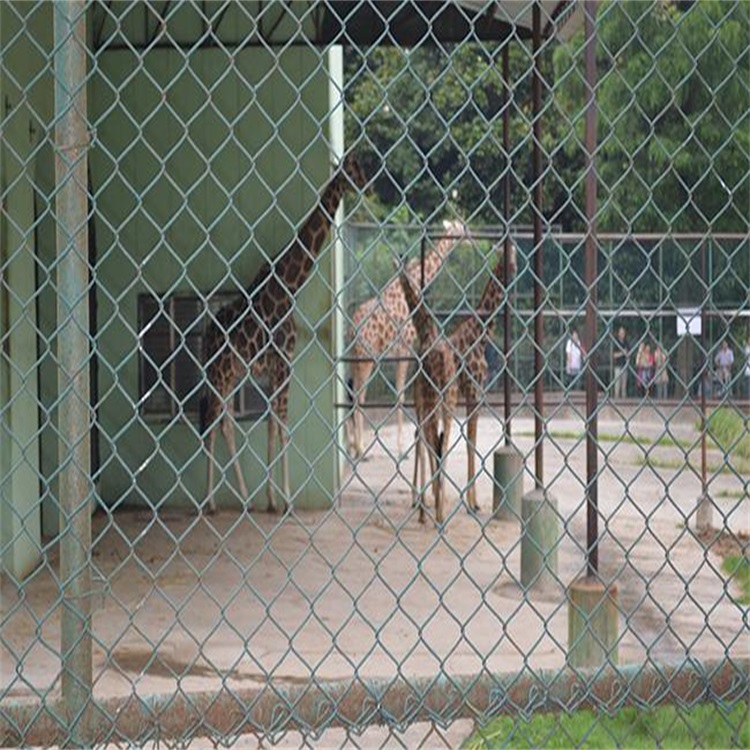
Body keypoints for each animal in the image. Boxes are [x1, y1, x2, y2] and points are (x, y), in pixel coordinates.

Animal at [201, 153, 368, 516]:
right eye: (350, 168)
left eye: (361, 166)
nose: (365, 184)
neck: (290, 285)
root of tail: (205, 338)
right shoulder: (284, 363)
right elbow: (283, 428)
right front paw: (288, 499)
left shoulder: (274, 369)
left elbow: (272, 428)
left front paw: (272, 499)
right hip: (219, 375)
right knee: (211, 424)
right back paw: (210, 503)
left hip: (231, 375)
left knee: (224, 424)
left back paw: (245, 498)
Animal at [348, 220, 470, 462]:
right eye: (461, 227)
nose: (471, 236)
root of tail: (351, 329)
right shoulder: (404, 347)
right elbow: (400, 394)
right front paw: (402, 450)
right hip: (366, 359)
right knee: (358, 396)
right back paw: (361, 450)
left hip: (353, 359)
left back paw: (350, 447)